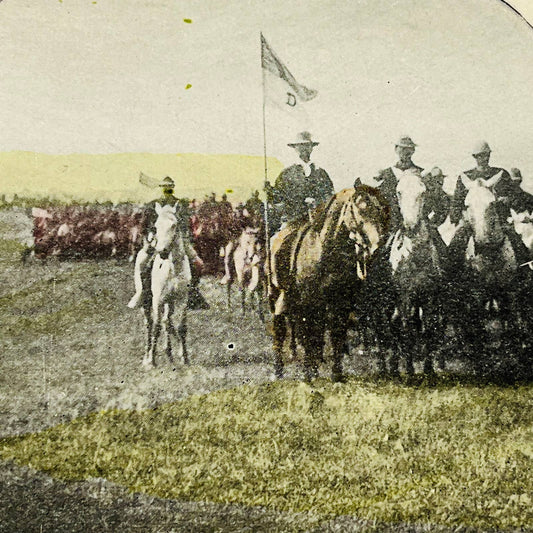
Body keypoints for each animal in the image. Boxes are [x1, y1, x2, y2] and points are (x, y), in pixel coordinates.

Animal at [142, 202, 190, 368]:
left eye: (174, 225)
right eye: (156, 226)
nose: (162, 252)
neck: (172, 270)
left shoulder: (181, 300)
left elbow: (180, 327)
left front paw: (184, 358)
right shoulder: (158, 300)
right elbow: (156, 327)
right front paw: (152, 361)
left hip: (170, 302)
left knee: (167, 322)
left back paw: (169, 353)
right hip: (148, 301)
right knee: (150, 324)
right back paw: (147, 356)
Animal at [268, 185, 388, 380]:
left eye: (382, 210)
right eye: (361, 207)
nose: (378, 245)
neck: (324, 252)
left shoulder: (341, 302)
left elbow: (335, 335)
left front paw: (335, 373)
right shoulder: (308, 301)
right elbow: (309, 335)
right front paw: (308, 373)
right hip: (276, 296)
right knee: (280, 330)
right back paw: (279, 371)